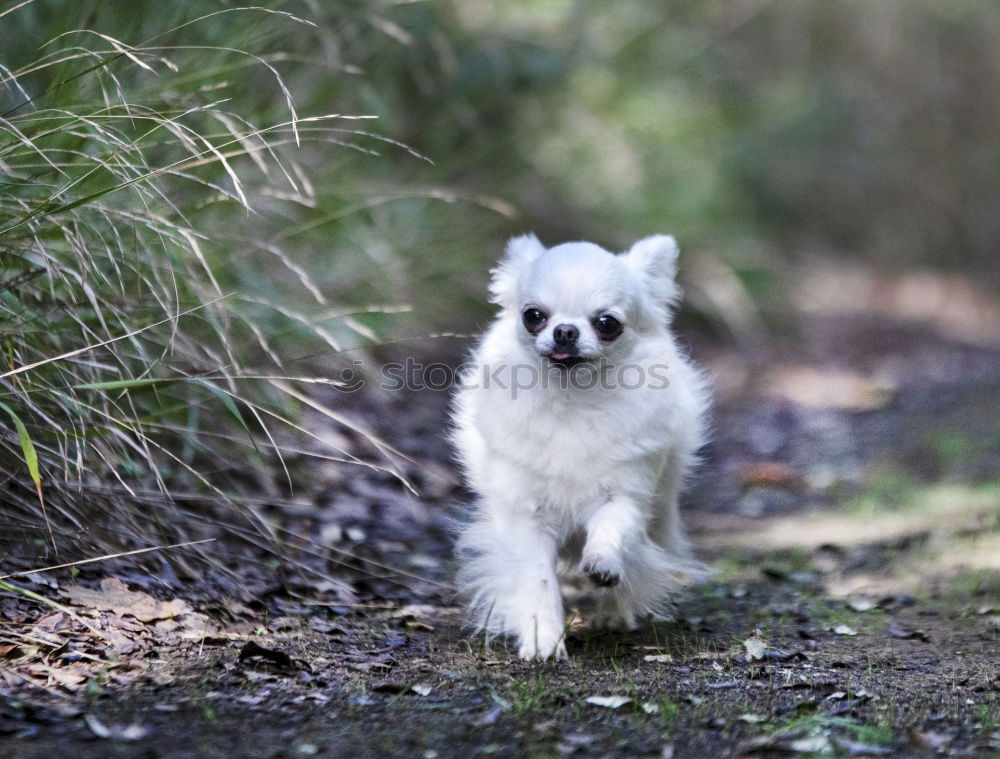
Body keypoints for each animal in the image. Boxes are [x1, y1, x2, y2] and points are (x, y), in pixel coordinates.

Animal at [454, 236, 712, 660]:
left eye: (607, 324)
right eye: (533, 316)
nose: (565, 331)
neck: (573, 398)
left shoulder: (625, 492)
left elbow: (613, 529)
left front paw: (603, 563)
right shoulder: (526, 514)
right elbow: (537, 579)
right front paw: (542, 638)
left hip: (661, 507)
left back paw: (613, 614)